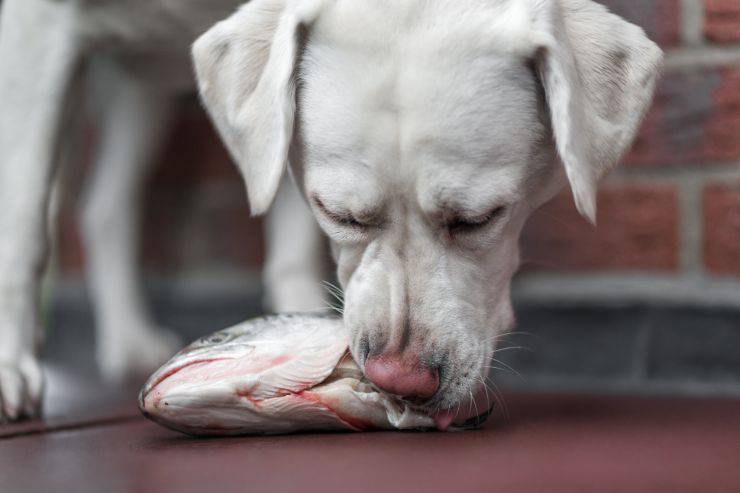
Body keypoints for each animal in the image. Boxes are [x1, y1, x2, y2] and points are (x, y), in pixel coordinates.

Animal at [0, 0, 660, 422]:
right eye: (341, 214)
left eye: (478, 219)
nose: (400, 379)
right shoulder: (38, 26)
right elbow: (24, 225)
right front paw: (10, 366)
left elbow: (291, 246)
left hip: (144, 83)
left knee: (105, 205)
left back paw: (127, 336)